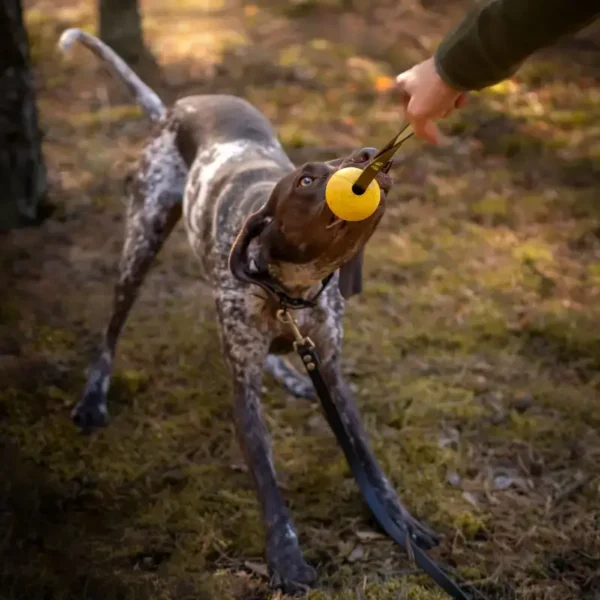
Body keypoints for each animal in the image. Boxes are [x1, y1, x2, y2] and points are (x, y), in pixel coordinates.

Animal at [58, 29, 438, 596]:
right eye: (306, 180)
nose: (374, 154)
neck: (289, 293)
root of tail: (177, 107)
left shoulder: (332, 371)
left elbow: (370, 464)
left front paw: (402, 523)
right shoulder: (244, 393)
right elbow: (268, 486)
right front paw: (286, 560)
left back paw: (288, 372)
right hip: (141, 241)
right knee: (111, 330)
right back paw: (93, 397)